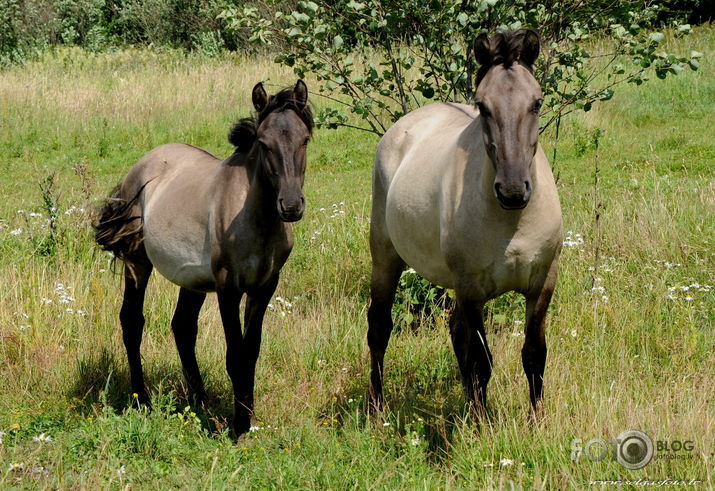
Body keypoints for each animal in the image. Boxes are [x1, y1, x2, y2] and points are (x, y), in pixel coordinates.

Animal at [93, 80, 314, 438]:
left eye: (304, 138)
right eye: (263, 143)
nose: (291, 206)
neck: (257, 219)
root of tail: (142, 166)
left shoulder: (264, 286)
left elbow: (251, 351)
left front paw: (248, 418)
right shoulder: (228, 287)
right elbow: (235, 354)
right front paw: (239, 426)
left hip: (192, 280)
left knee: (183, 327)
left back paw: (201, 400)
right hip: (138, 264)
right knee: (132, 321)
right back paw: (142, 400)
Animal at [370, 29, 564, 416]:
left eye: (536, 102)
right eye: (483, 105)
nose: (513, 190)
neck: (512, 223)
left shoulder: (542, 285)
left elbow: (534, 355)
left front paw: (537, 422)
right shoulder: (472, 289)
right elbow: (480, 361)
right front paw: (481, 423)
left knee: (455, 333)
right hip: (385, 257)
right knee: (379, 328)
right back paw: (376, 409)